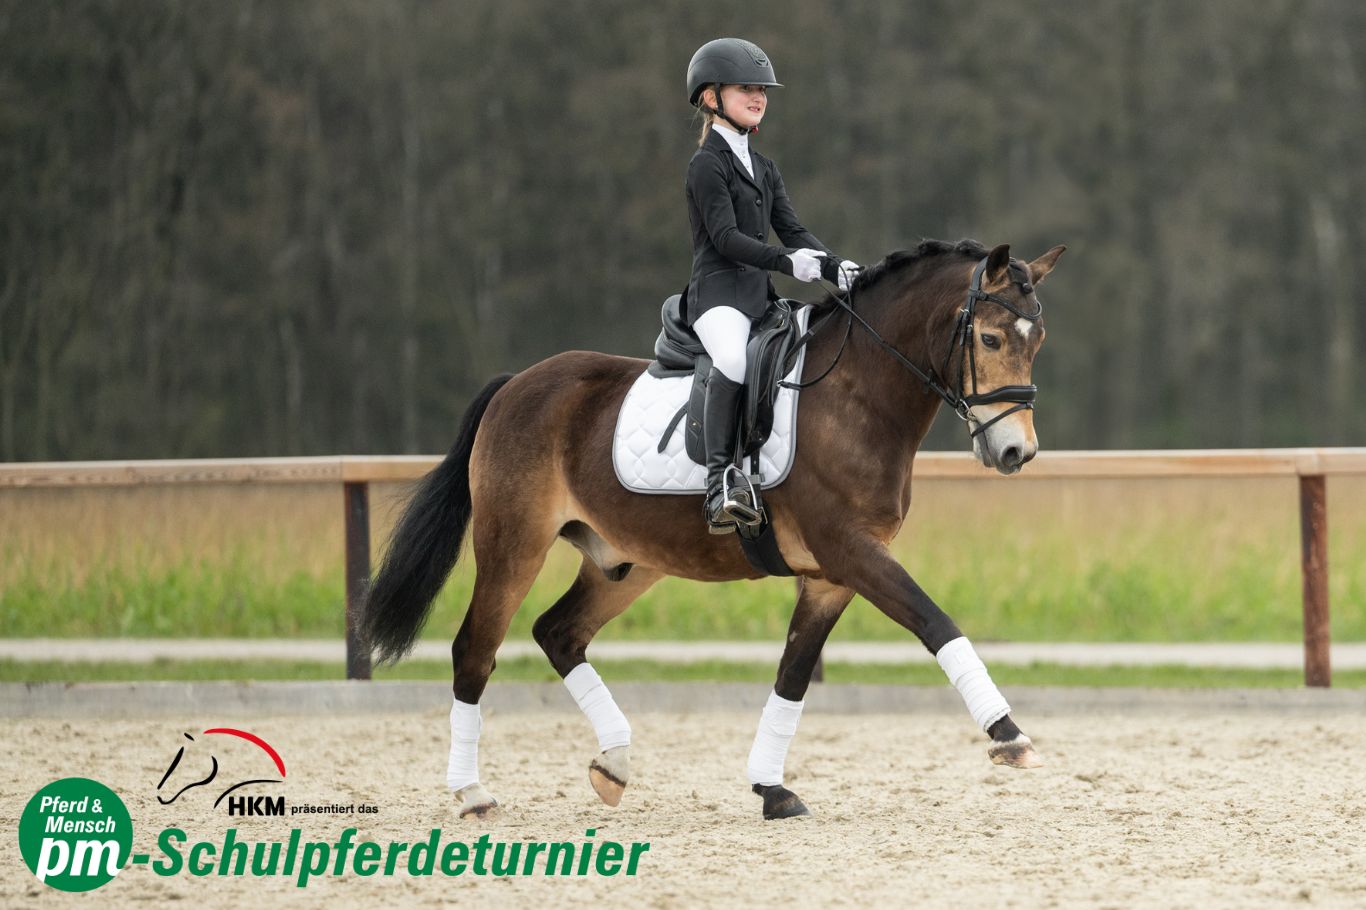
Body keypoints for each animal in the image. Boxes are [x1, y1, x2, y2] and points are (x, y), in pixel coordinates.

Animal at [361, 238, 1066, 821]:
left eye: (1038, 341)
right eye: (991, 340)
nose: (1016, 452)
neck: (858, 395)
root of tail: (518, 384)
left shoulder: (831, 575)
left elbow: (793, 673)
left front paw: (772, 789)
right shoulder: (852, 552)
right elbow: (935, 622)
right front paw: (1010, 736)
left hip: (625, 562)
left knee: (558, 633)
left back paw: (614, 764)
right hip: (513, 544)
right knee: (475, 649)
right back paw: (472, 793)